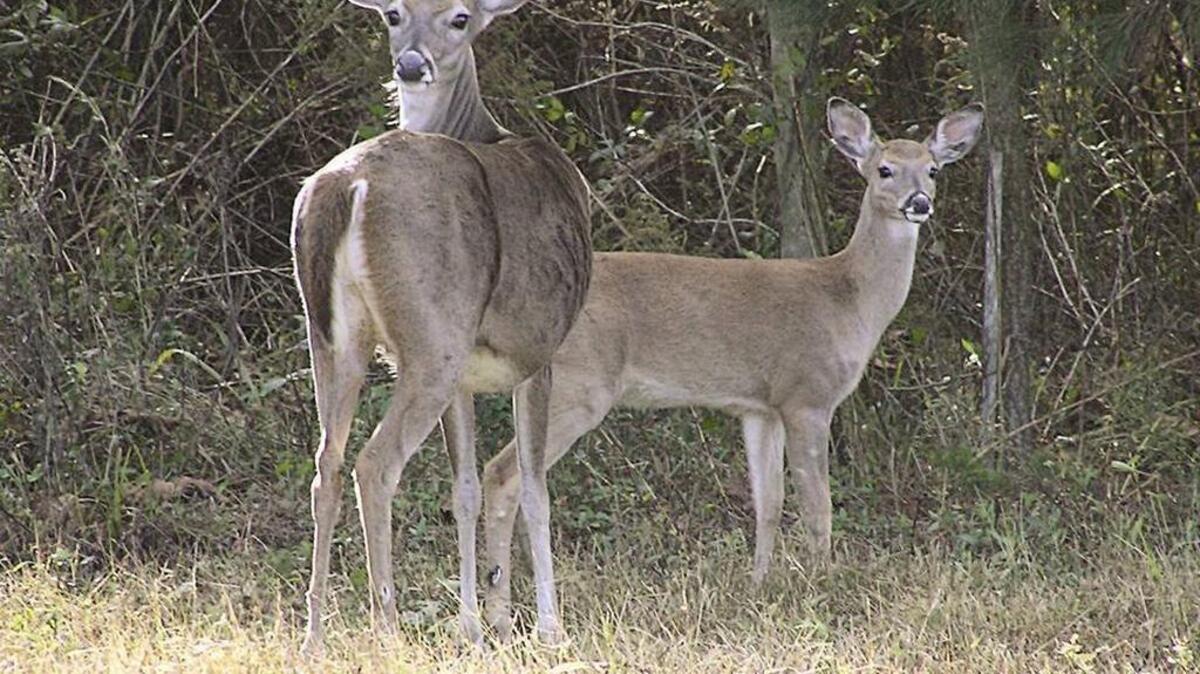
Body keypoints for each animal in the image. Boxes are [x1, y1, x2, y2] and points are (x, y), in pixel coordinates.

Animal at [292, 0, 591, 653]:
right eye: (393, 14)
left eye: (459, 18)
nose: (410, 64)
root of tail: (347, 186)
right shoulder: (538, 351)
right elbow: (534, 488)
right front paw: (548, 628)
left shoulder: (468, 379)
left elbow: (468, 489)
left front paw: (481, 625)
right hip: (432, 343)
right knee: (374, 465)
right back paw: (385, 628)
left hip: (332, 338)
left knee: (327, 463)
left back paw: (314, 636)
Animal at [479, 98, 984, 641]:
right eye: (884, 169)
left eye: (933, 169)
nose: (919, 202)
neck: (849, 301)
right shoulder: (807, 394)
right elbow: (818, 504)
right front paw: (825, 586)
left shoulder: (759, 407)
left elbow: (769, 502)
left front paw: (760, 583)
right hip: (580, 386)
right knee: (504, 473)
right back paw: (504, 618)